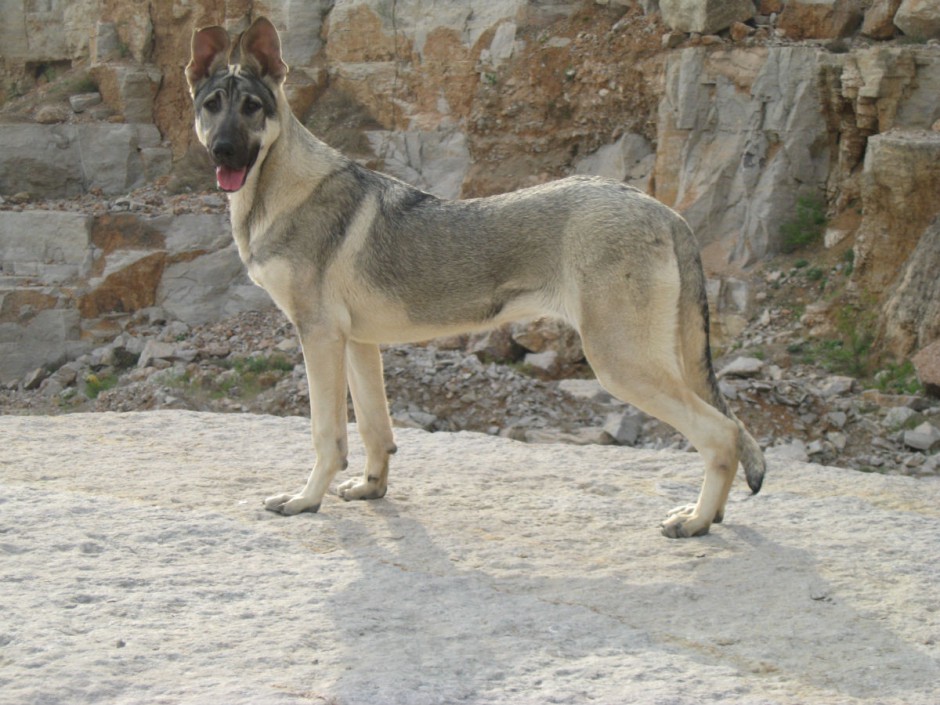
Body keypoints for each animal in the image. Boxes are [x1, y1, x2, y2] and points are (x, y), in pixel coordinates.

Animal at [185, 17, 764, 540]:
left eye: (252, 107)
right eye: (211, 105)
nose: (222, 152)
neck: (276, 188)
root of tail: (666, 212)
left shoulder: (319, 337)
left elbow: (327, 435)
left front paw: (305, 500)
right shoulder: (358, 343)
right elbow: (375, 429)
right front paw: (371, 489)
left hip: (621, 364)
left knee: (724, 433)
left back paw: (694, 521)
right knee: (733, 431)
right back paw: (710, 515)